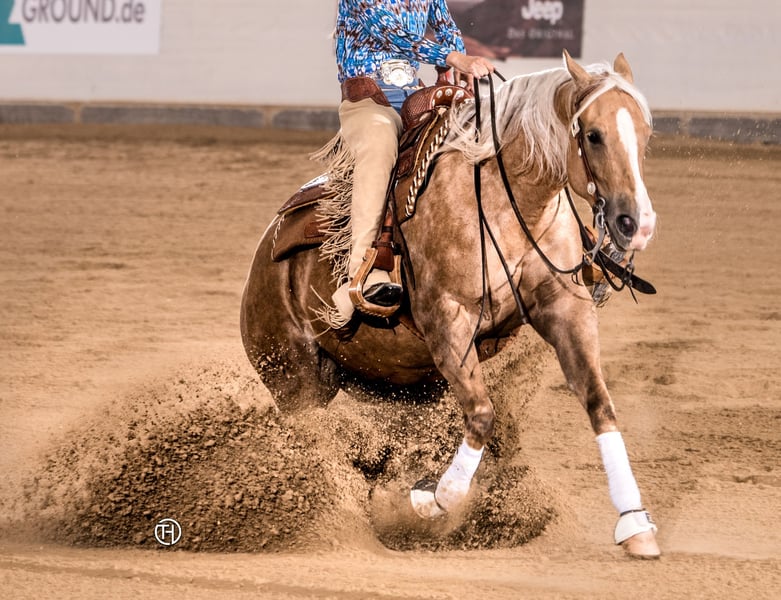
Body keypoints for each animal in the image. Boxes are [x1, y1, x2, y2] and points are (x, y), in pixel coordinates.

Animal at [240, 51, 660, 558]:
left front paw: (635, 523)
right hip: (293, 380)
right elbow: (481, 414)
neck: (506, 199)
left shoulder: (565, 308)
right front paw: (432, 499)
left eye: (645, 133)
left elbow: (599, 402)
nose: (636, 223)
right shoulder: (448, 320)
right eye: (593, 135)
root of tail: (264, 256)